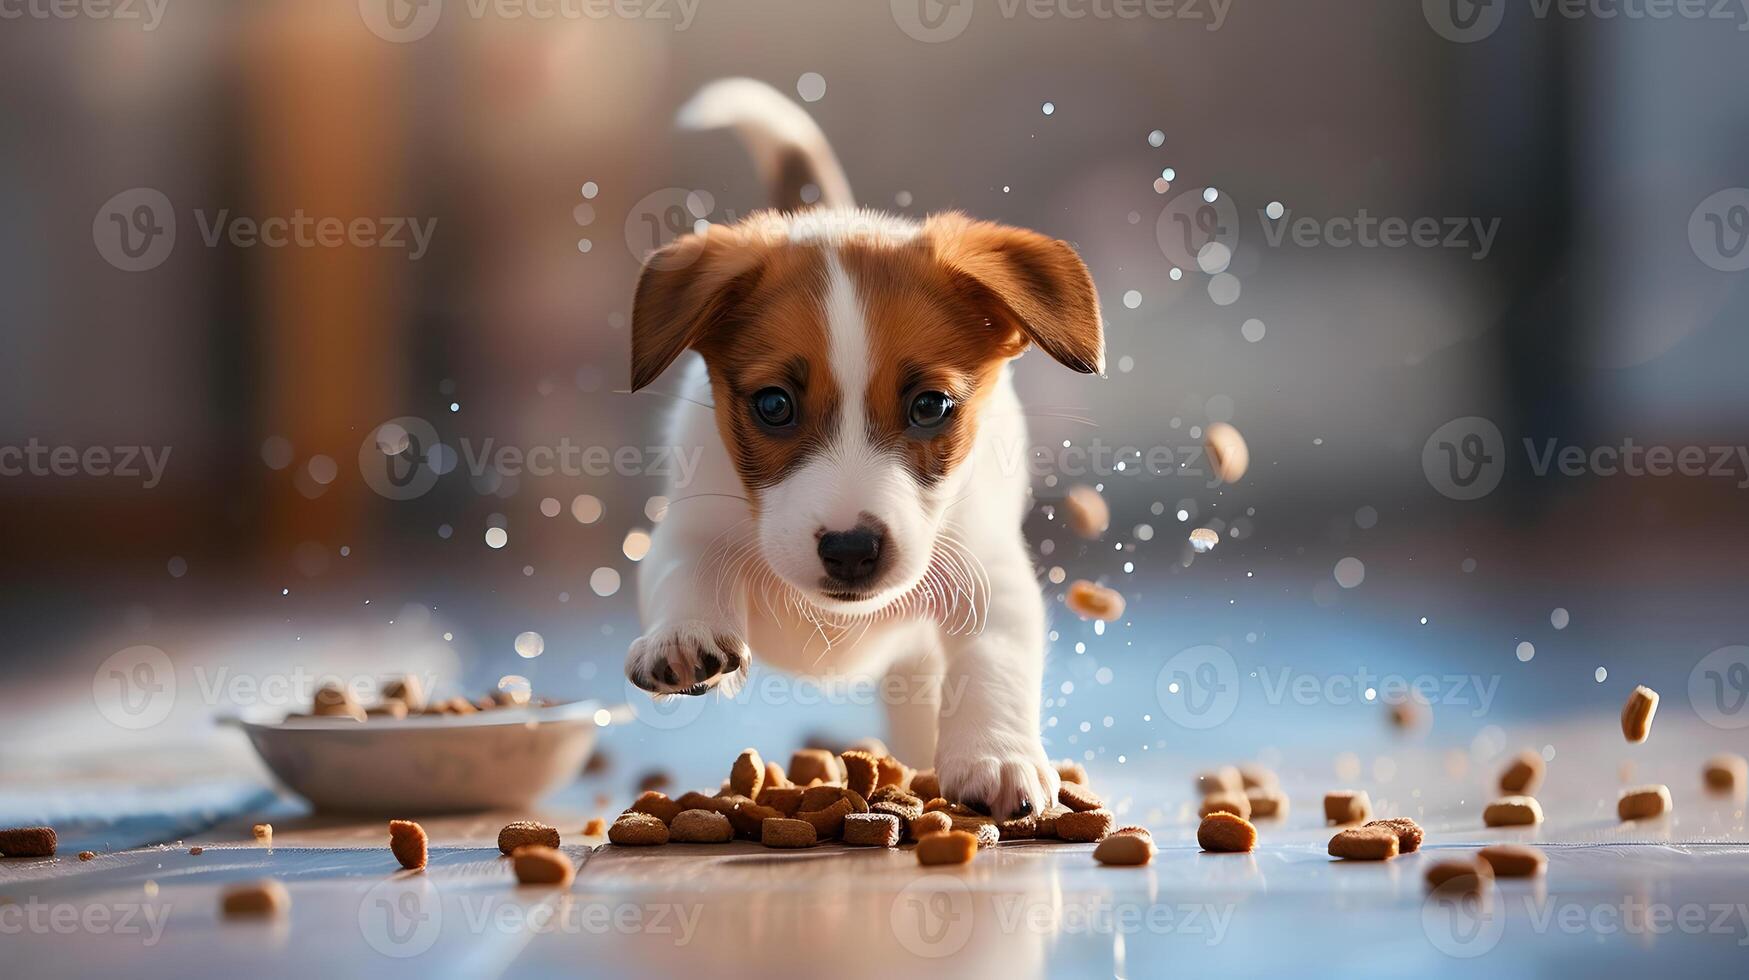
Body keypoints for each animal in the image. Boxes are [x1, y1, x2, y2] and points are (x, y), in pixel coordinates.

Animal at [622, 80, 1098, 822]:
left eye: (929, 407)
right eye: (773, 406)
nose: (850, 550)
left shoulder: (987, 571)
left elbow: (994, 659)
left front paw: (996, 755)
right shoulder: (687, 528)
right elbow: (685, 574)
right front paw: (683, 636)